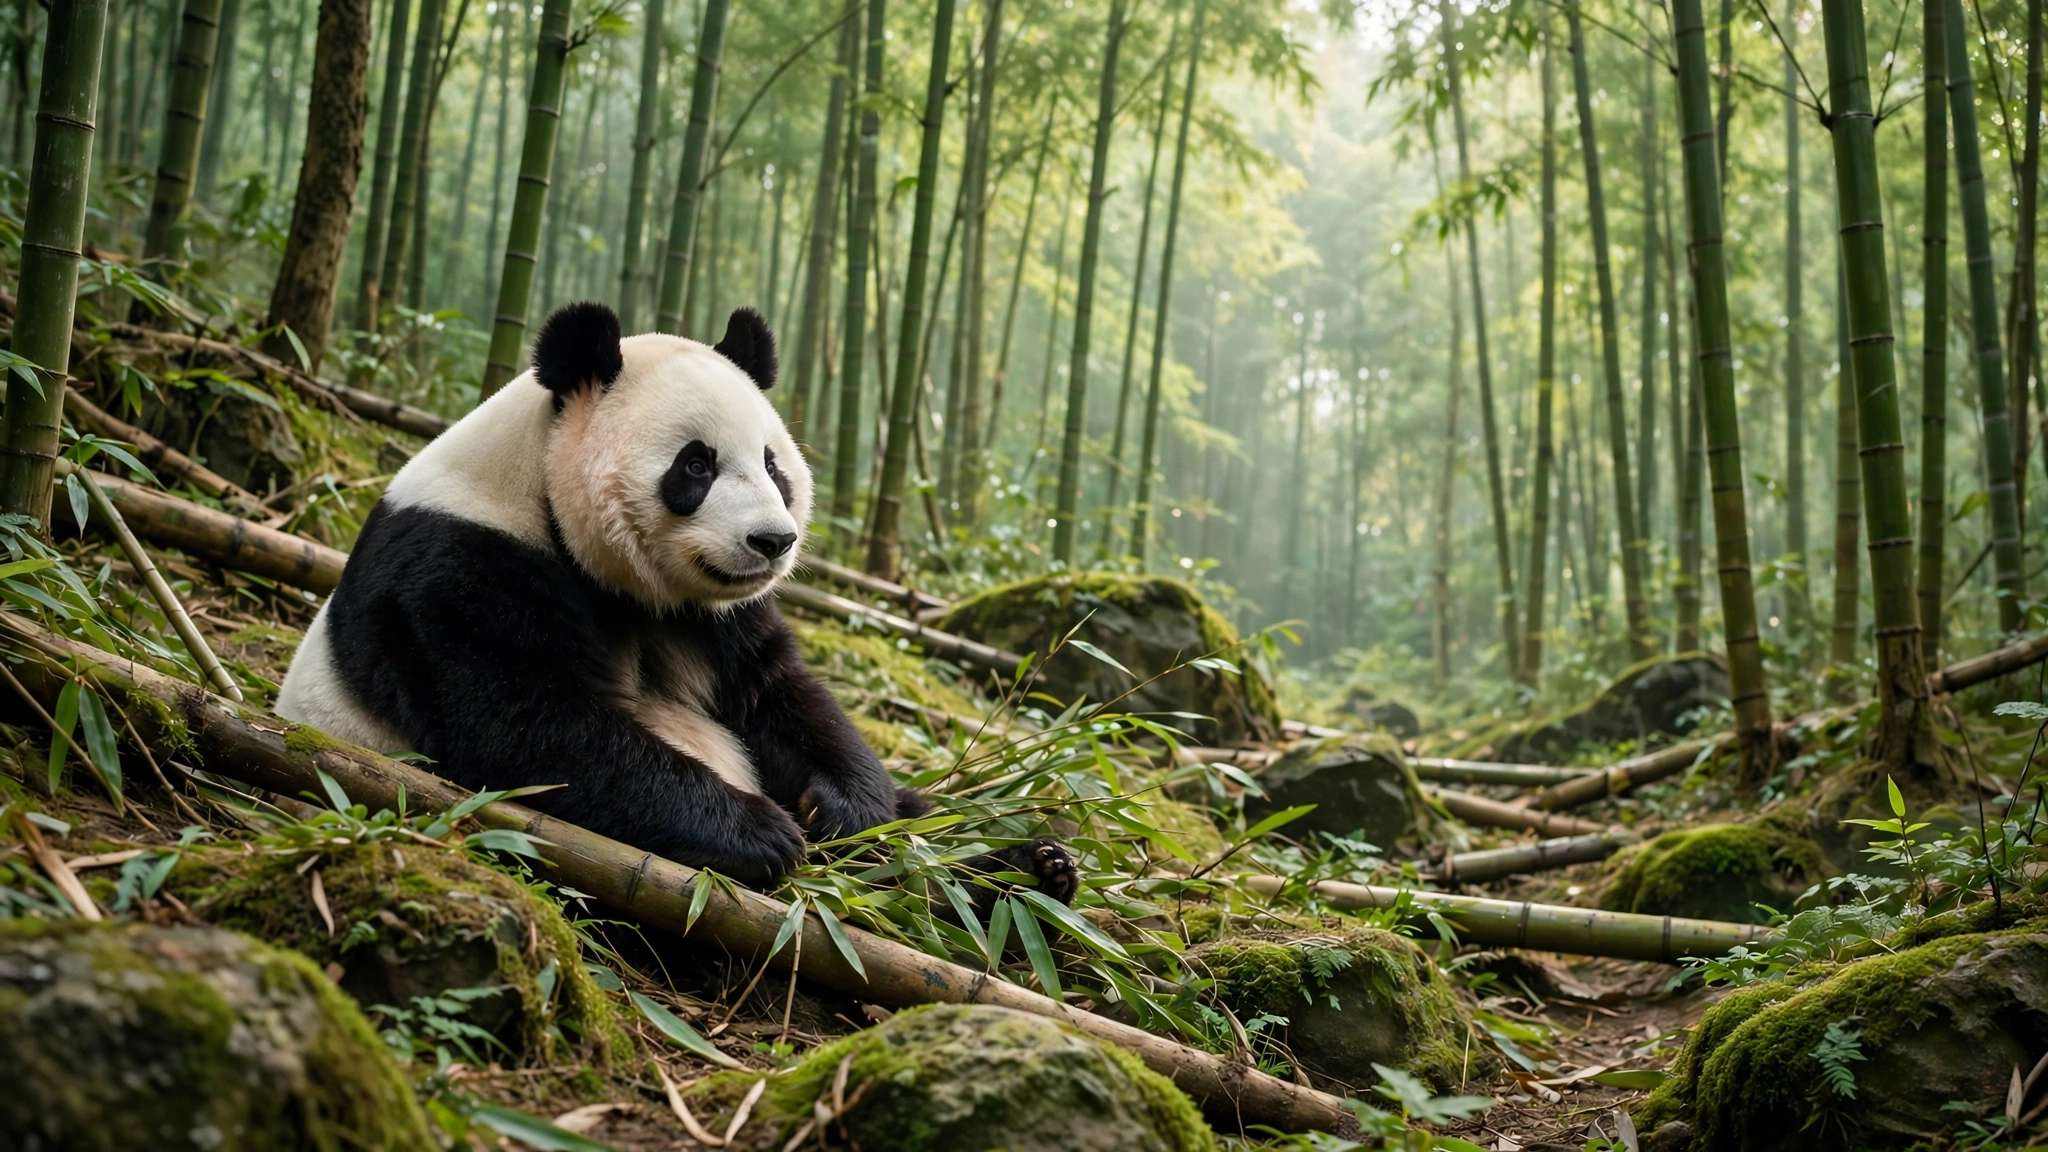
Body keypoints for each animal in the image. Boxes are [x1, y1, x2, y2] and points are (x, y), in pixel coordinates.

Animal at [276, 301, 1075, 900]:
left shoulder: (717, 614)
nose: (772, 542)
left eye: (773, 465)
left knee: (918, 840)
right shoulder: (456, 566)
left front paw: (843, 806)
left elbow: (781, 695)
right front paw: (763, 832)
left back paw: (1029, 870)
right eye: (696, 465)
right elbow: (532, 728)